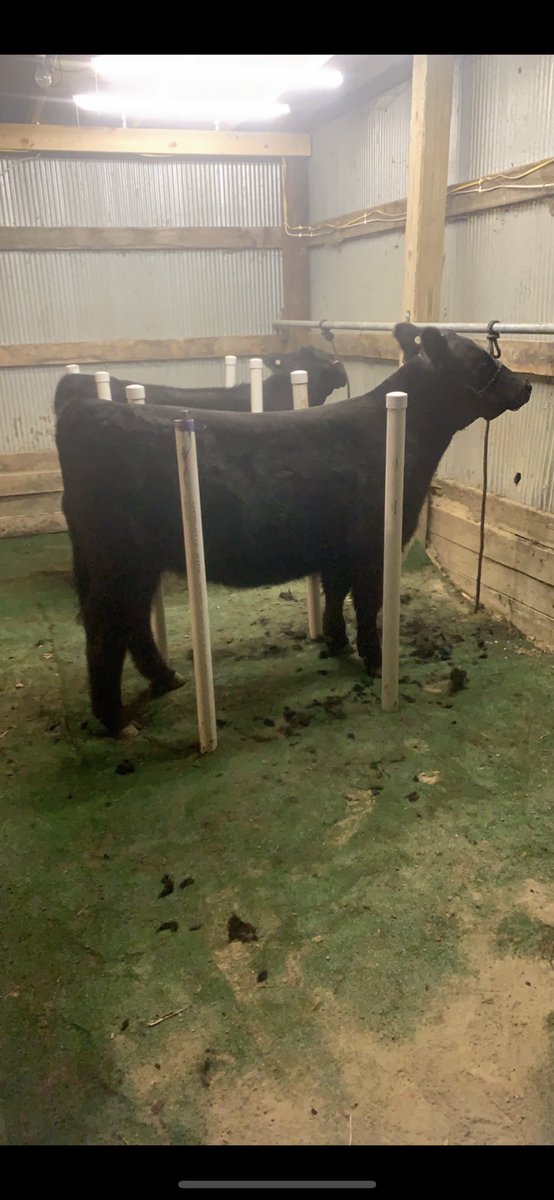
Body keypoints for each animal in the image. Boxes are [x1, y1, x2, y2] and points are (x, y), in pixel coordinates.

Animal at [54, 324, 531, 736]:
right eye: (480, 365)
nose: (526, 386)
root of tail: (83, 410)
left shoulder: (339, 549)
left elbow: (335, 592)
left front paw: (336, 642)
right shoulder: (373, 544)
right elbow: (367, 604)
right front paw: (375, 659)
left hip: (129, 562)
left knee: (130, 621)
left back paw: (164, 678)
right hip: (118, 561)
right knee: (106, 629)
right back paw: (116, 719)